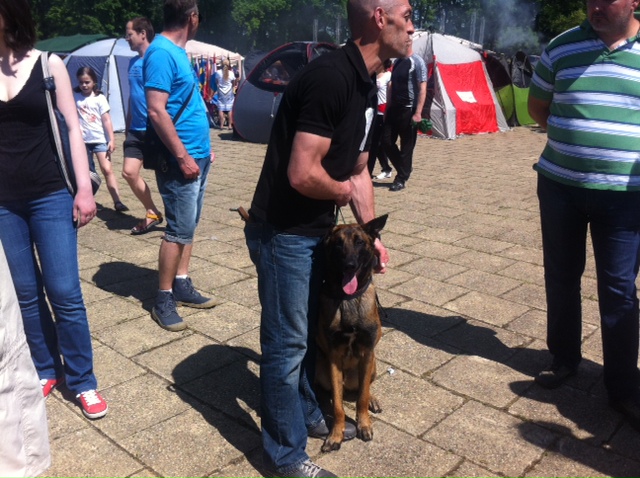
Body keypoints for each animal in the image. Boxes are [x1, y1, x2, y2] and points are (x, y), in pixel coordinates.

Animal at [315, 214, 388, 452]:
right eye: (338, 244)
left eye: (359, 243)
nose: (349, 265)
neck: (348, 299)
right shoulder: (334, 359)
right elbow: (338, 406)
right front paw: (336, 434)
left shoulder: (367, 354)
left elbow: (362, 398)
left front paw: (364, 424)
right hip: (321, 370)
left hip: (372, 365)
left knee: (364, 389)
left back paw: (373, 399)